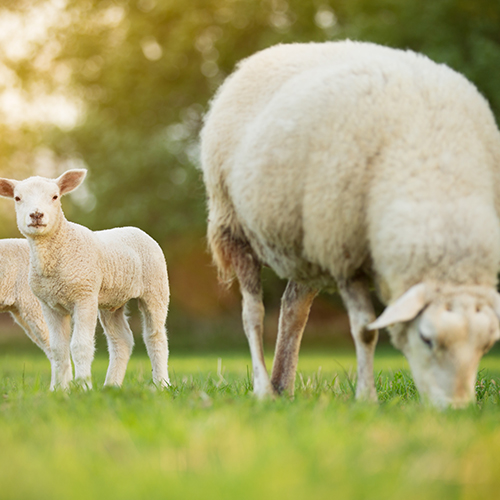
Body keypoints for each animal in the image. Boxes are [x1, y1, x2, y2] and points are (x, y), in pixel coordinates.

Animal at [200, 41, 500, 408]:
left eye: (487, 345)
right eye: (427, 339)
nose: (456, 409)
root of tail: (262, 55)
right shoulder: (345, 255)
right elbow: (364, 330)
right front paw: (366, 398)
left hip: (307, 243)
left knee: (293, 310)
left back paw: (283, 386)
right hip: (235, 226)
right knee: (253, 313)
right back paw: (263, 389)